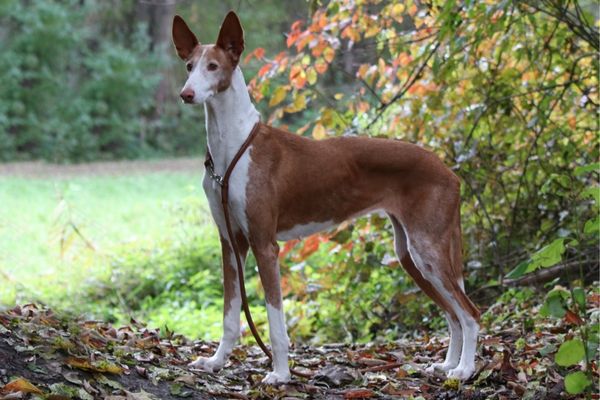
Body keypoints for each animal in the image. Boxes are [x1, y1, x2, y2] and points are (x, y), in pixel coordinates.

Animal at [171, 10, 480, 382]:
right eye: (189, 66)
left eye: (213, 66)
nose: (186, 94)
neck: (232, 148)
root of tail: (449, 171)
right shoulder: (231, 244)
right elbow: (230, 315)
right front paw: (216, 362)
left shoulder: (264, 245)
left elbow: (275, 322)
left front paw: (281, 375)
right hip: (411, 254)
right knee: (452, 313)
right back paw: (449, 364)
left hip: (427, 250)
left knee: (469, 312)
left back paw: (465, 370)